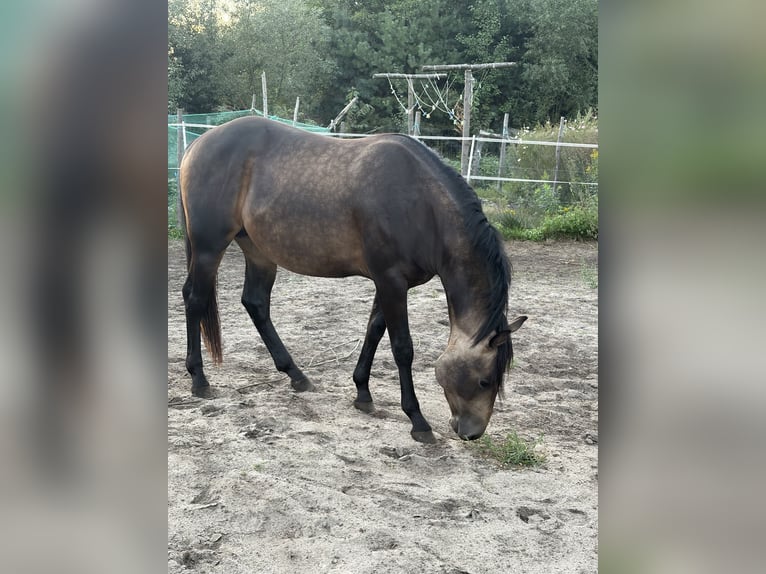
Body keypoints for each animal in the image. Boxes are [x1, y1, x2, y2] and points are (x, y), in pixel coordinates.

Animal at [178, 116, 526, 443]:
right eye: (484, 380)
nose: (472, 432)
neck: (422, 204)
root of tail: (197, 145)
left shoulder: (389, 283)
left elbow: (374, 331)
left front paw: (363, 394)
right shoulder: (391, 282)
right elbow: (402, 348)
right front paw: (418, 421)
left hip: (258, 251)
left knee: (255, 303)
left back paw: (296, 375)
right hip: (209, 248)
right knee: (195, 299)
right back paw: (199, 379)